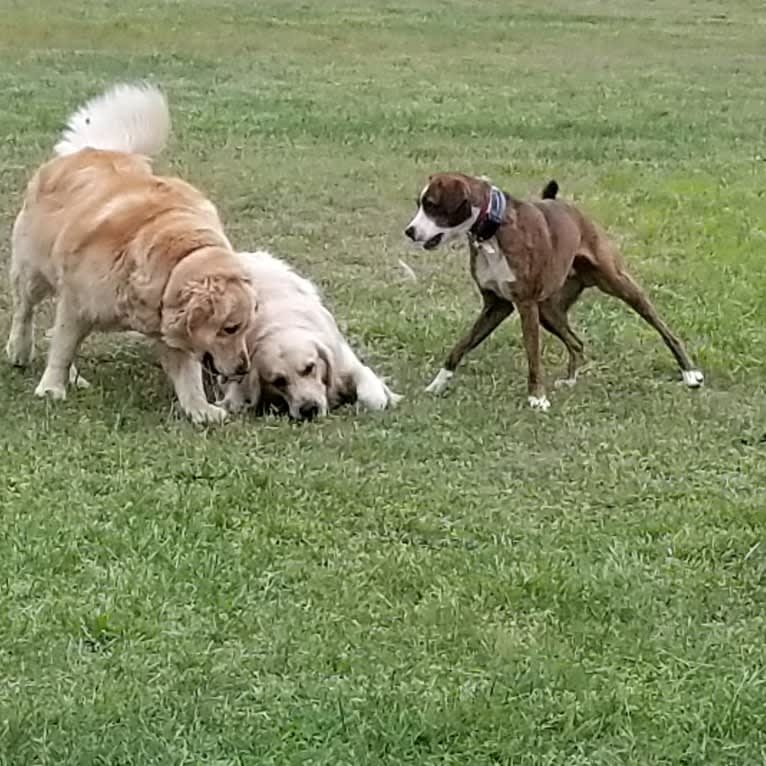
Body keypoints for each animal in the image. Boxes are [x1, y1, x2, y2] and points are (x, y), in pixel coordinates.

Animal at [4, 82, 258, 426]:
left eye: (246, 328)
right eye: (230, 328)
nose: (244, 368)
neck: (175, 254)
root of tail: (93, 148)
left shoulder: (172, 330)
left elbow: (188, 375)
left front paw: (199, 409)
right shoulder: (76, 304)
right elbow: (62, 348)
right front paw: (51, 388)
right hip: (33, 270)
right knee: (25, 309)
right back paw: (19, 349)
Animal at [218, 250, 402, 420]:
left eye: (310, 368)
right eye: (278, 381)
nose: (308, 409)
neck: (283, 322)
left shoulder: (346, 362)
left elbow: (372, 398)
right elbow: (236, 399)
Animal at [404, 174, 704, 412]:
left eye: (431, 205)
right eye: (420, 204)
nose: (409, 231)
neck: (494, 230)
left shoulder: (525, 306)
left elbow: (533, 357)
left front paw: (537, 398)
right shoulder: (496, 306)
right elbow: (461, 346)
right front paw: (438, 384)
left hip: (620, 285)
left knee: (663, 329)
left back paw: (689, 372)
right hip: (549, 310)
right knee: (577, 343)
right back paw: (570, 380)